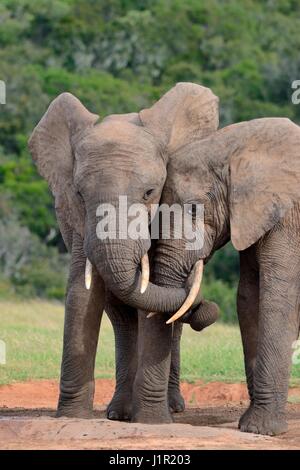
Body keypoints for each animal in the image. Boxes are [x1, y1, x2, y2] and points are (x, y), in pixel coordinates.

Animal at [28, 81, 219, 418]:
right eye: (80, 195)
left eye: (149, 193)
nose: (207, 307)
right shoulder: (77, 221)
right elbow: (82, 292)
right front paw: (72, 417)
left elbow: (153, 292)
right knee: (121, 318)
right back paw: (119, 413)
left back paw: (173, 407)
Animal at [134, 117, 300, 436]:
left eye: (195, 208)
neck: (238, 147)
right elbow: (248, 296)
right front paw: (252, 425)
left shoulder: (289, 218)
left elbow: (276, 296)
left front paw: (260, 430)